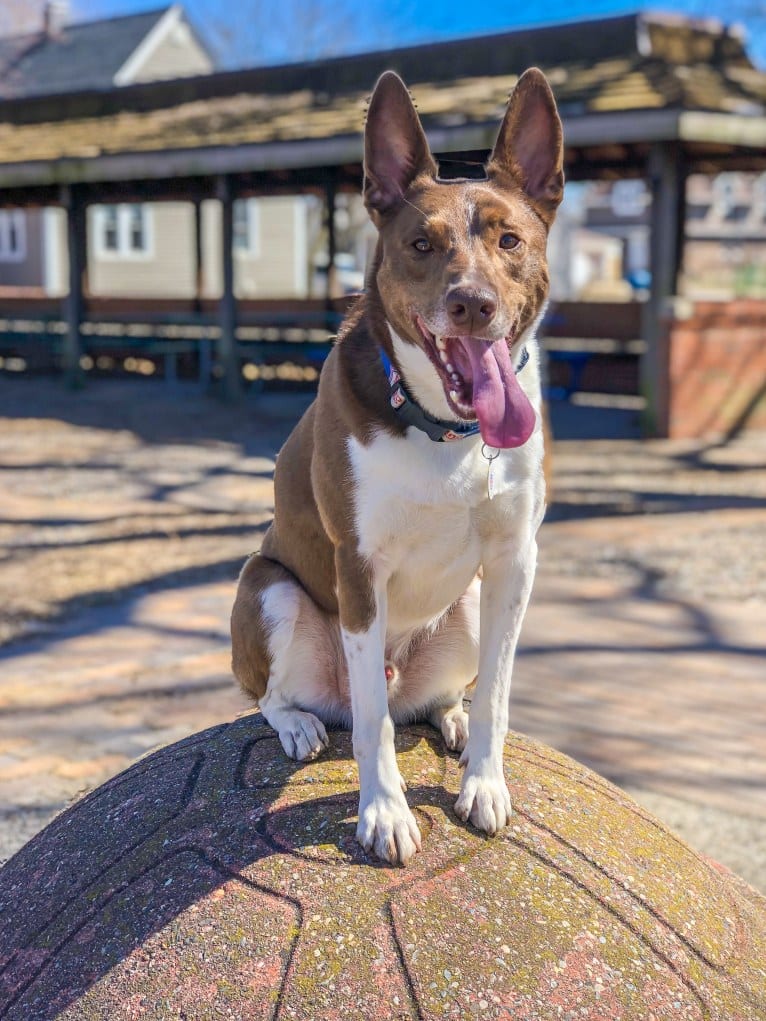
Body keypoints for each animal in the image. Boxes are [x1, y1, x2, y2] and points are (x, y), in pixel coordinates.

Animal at [230, 65, 567, 861]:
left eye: (510, 240)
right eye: (420, 243)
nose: (473, 303)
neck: (448, 431)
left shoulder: (515, 560)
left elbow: (498, 693)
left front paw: (485, 782)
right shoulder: (358, 566)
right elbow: (374, 723)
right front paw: (384, 811)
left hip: (468, 604)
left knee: (433, 698)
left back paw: (449, 715)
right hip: (268, 589)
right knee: (283, 695)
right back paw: (299, 722)